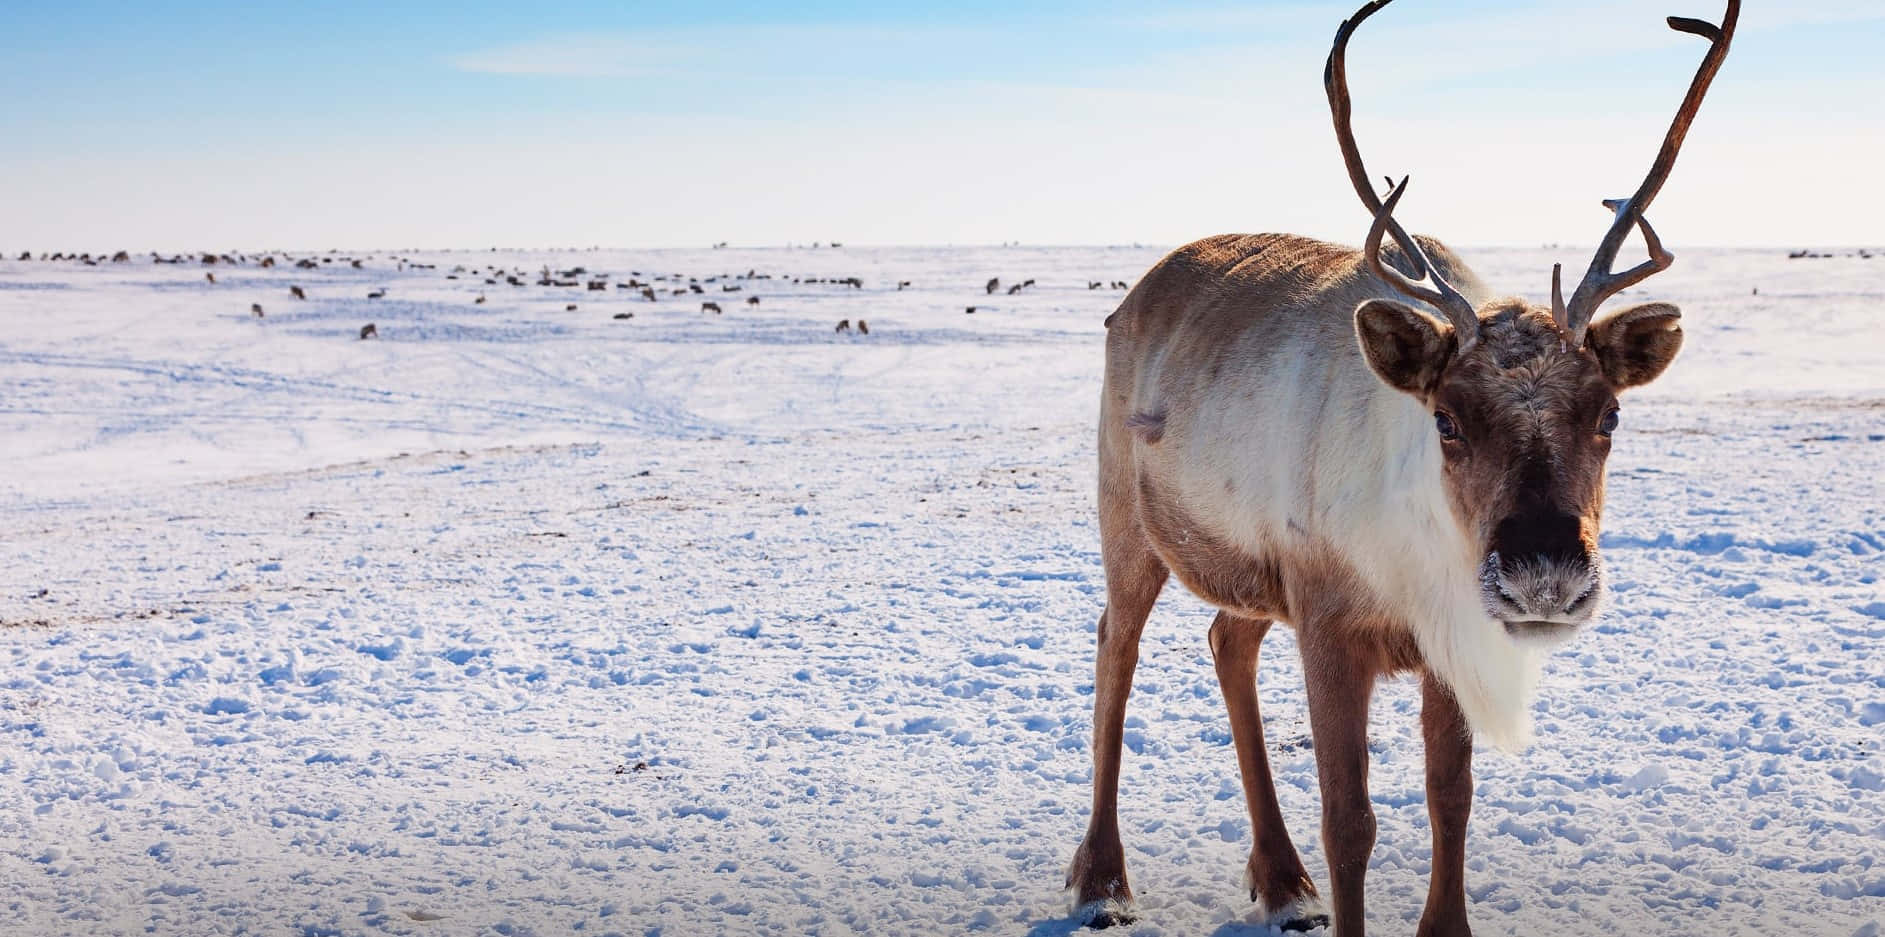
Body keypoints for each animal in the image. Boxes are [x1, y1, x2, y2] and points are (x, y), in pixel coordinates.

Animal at [1064, 1, 1737, 934]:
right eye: (1445, 418)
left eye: (1609, 413)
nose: (1544, 576)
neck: (1415, 552)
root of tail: (1136, 291)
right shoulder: (1326, 618)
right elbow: (1349, 817)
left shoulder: (1442, 633)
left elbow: (1449, 794)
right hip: (1126, 518)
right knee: (1114, 647)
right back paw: (1102, 878)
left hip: (1253, 571)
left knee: (1226, 640)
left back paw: (1281, 879)